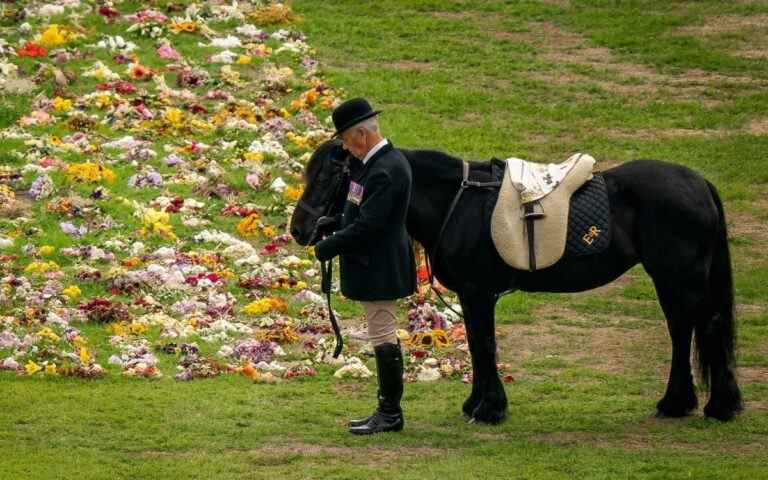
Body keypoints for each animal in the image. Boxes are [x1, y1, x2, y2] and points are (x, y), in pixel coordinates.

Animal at [292, 140, 740, 424]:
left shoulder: (478, 293)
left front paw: (489, 410)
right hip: (672, 281)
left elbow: (484, 346)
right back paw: (679, 403)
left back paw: (716, 406)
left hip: (679, 278)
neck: (458, 202)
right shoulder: (471, 295)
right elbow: (478, 346)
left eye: (327, 176)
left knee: (704, 329)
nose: (299, 230)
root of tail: (699, 184)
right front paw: (477, 404)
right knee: (683, 332)